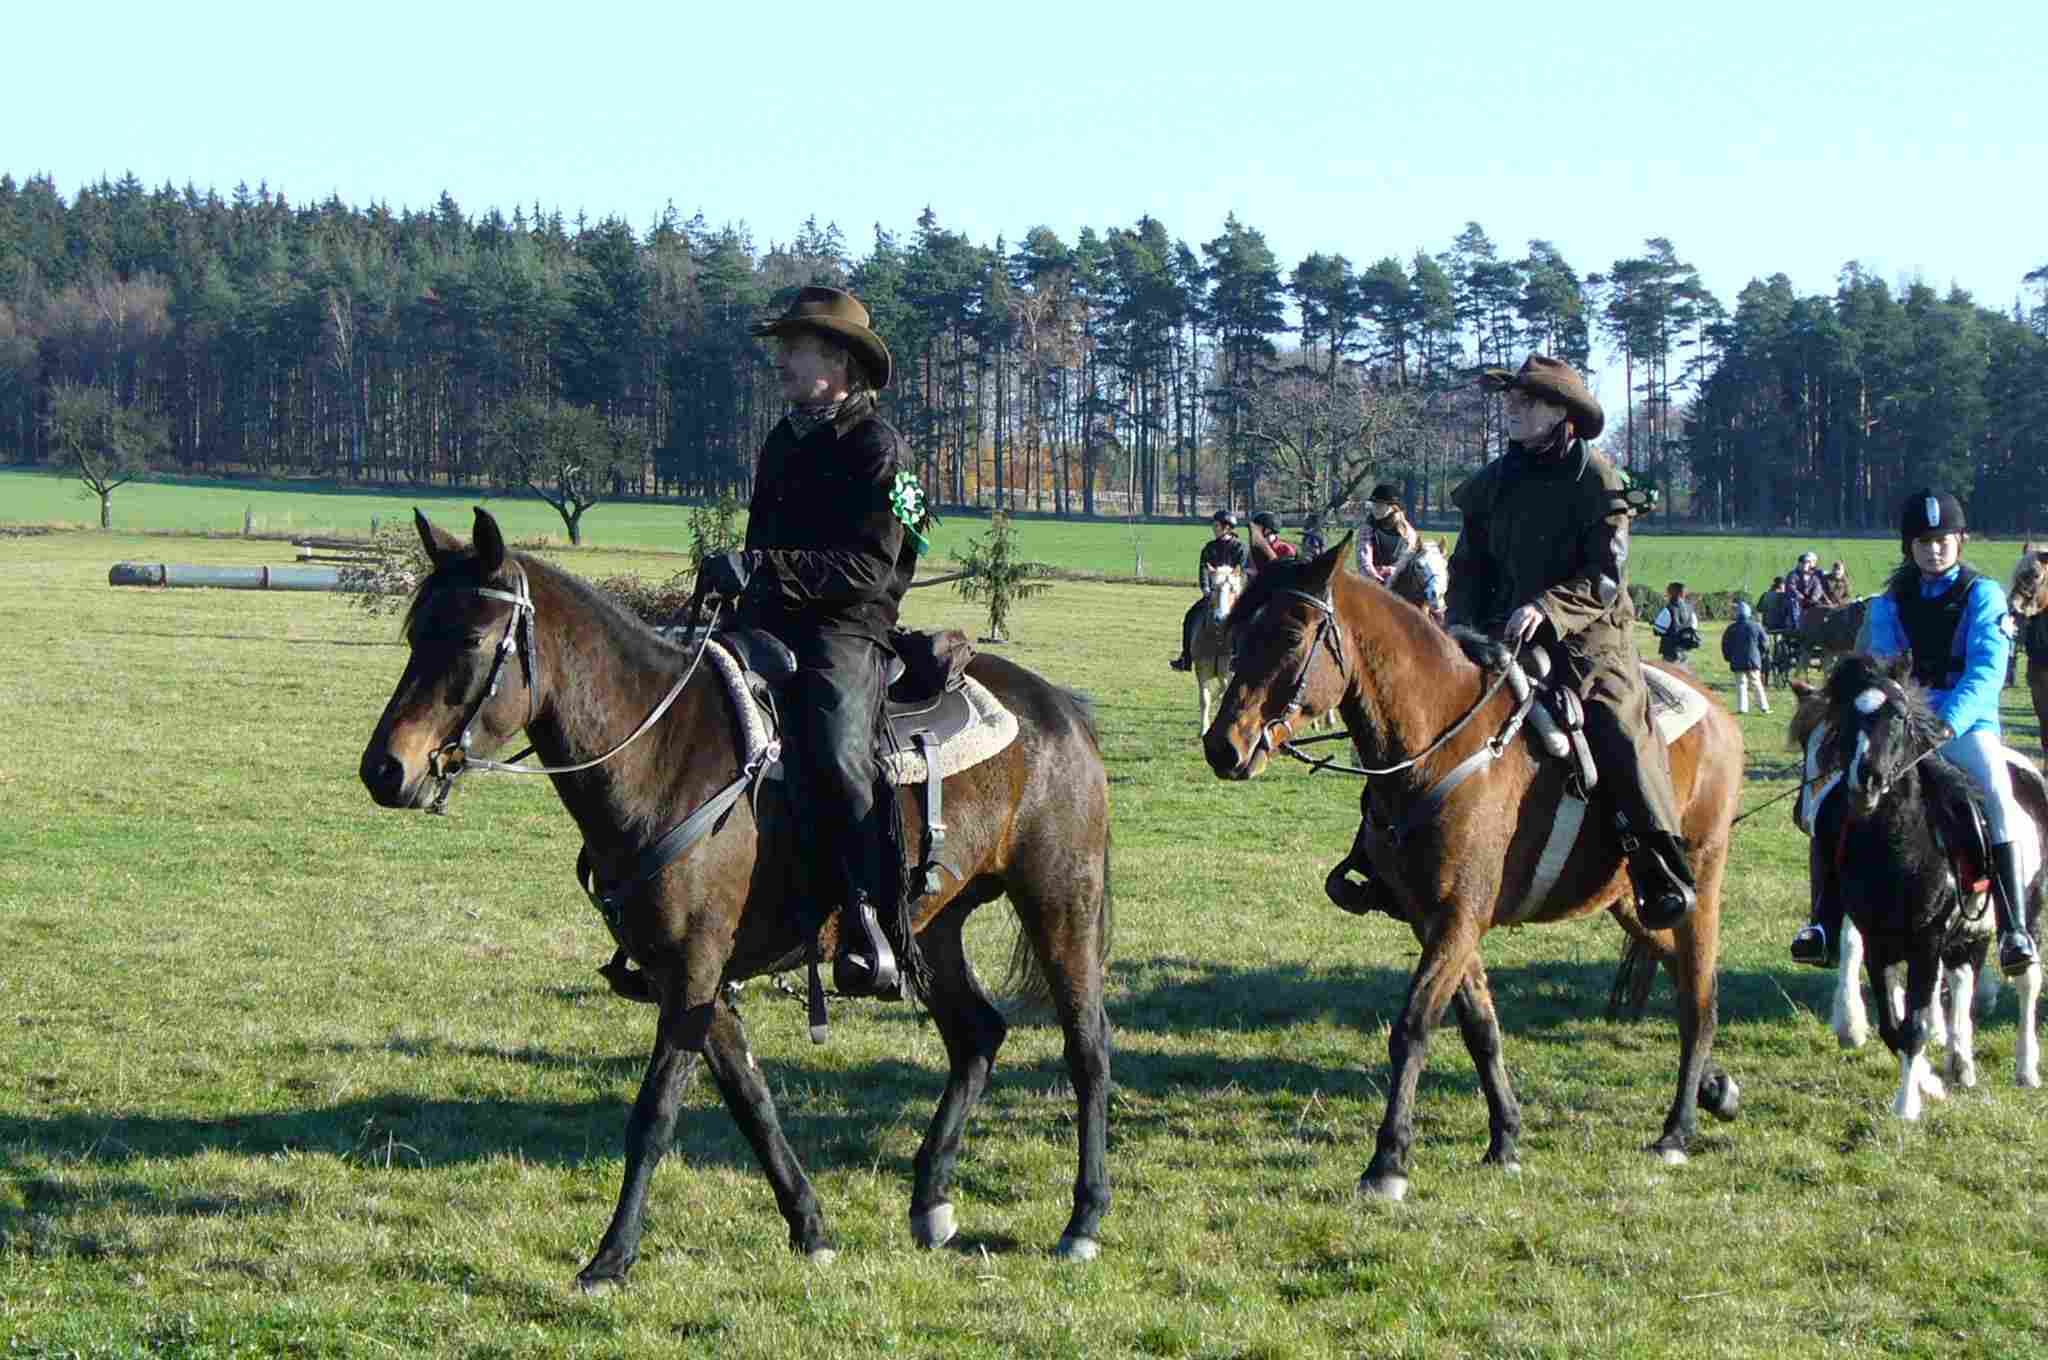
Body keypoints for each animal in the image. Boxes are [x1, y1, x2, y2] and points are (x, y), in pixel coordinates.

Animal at [360, 510, 1114, 1286]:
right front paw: (810, 1227)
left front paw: (611, 1258)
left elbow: (655, 1113)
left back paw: (1083, 1219)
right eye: (416, 631)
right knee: (977, 1036)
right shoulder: (693, 977)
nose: (385, 769)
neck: (660, 753)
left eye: (473, 640)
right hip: (931, 928)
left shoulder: (692, 971)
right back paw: (930, 1200)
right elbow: (752, 1101)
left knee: (1086, 1048)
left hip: (1061, 899)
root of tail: (1061, 709)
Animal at [1196, 536, 1744, 1196]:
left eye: (1291, 633)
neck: (1439, 743)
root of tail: (1718, 714)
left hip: (1699, 885)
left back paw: (1678, 1130)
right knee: (1680, 971)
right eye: (1238, 630)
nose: (1224, 745)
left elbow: (1413, 1026)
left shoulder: (1458, 917)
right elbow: (1480, 1027)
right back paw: (1716, 1088)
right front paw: (1504, 1138)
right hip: (1632, 902)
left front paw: (1389, 1161)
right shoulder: (1436, 920)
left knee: (1697, 997)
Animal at [1785, 655, 2039, 1122]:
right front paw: (1928, 1081)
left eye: (1899, 716)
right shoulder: (1878, 939)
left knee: (2027, 979)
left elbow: (1915, 1023)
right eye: (1847, 718)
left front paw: (1907, 1105)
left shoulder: (1927, 940)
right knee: (1963, 978)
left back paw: (2026, 1067)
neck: (1898, 843)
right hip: (1969, 931)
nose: (1867, 779)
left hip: (2026, 911)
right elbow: (1893, 1024)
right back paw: (1960, 1061)